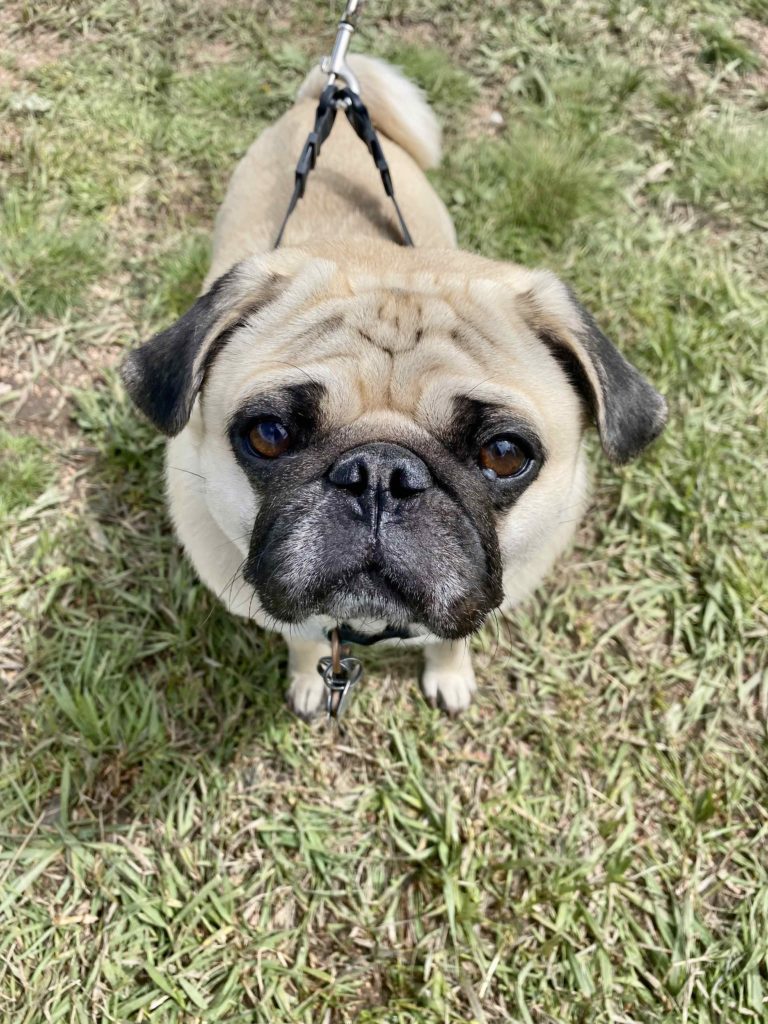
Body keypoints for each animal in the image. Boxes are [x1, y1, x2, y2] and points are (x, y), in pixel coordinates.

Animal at [120, 51, 667, 716]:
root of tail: (327, 95)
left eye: (505, 454)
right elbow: (304, 639)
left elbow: (454, 635)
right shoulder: (293, 618)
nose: (379, 474)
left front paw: (450, 674)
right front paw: (308, 680)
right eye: (269, 434)